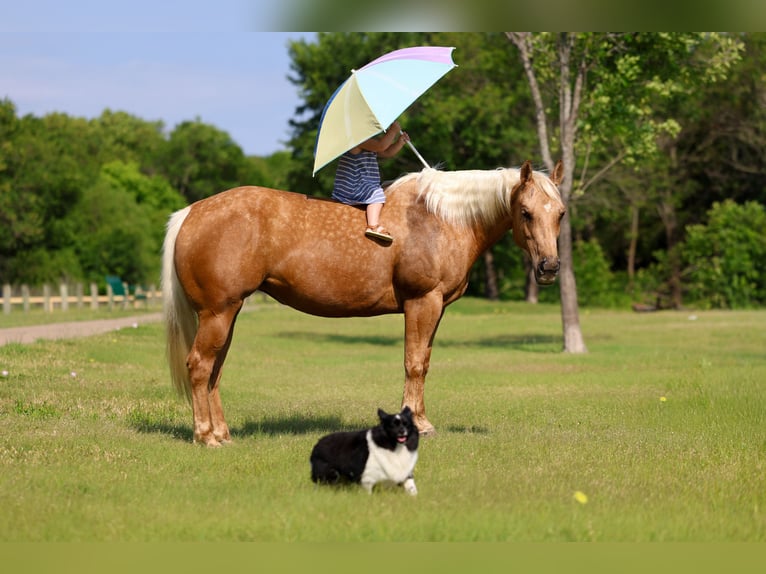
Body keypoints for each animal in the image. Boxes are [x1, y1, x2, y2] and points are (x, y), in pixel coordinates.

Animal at [162, 160, 565, 446]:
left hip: (227, 314)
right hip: (217, 313)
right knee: (199, 366)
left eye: (560, 213)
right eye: (525, 212)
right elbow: (414, 364)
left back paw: (223, 434)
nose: (549, 267)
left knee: (214, 371)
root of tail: (191, 212)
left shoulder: (437, 308)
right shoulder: (423, 302)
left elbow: (424, 363)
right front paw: (419, 425)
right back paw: (205, 436)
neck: (440, 219)